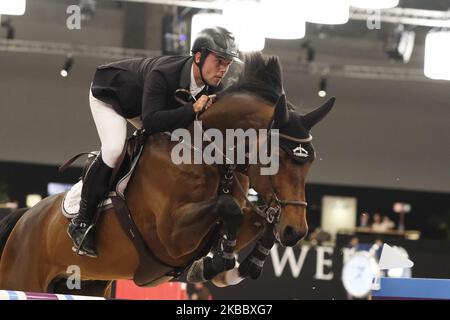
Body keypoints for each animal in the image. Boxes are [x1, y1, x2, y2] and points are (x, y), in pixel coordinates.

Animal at [0, 51, 334, 296]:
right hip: (22, 277)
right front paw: (218, 263)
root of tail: (25, 217)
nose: (296, 232)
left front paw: (239, 265)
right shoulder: (170, 236)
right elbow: (228, 208)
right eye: (277, 158)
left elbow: (257, 219)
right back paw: (81, 231)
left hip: (87, 285)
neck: (208, 156)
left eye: (311, 162)